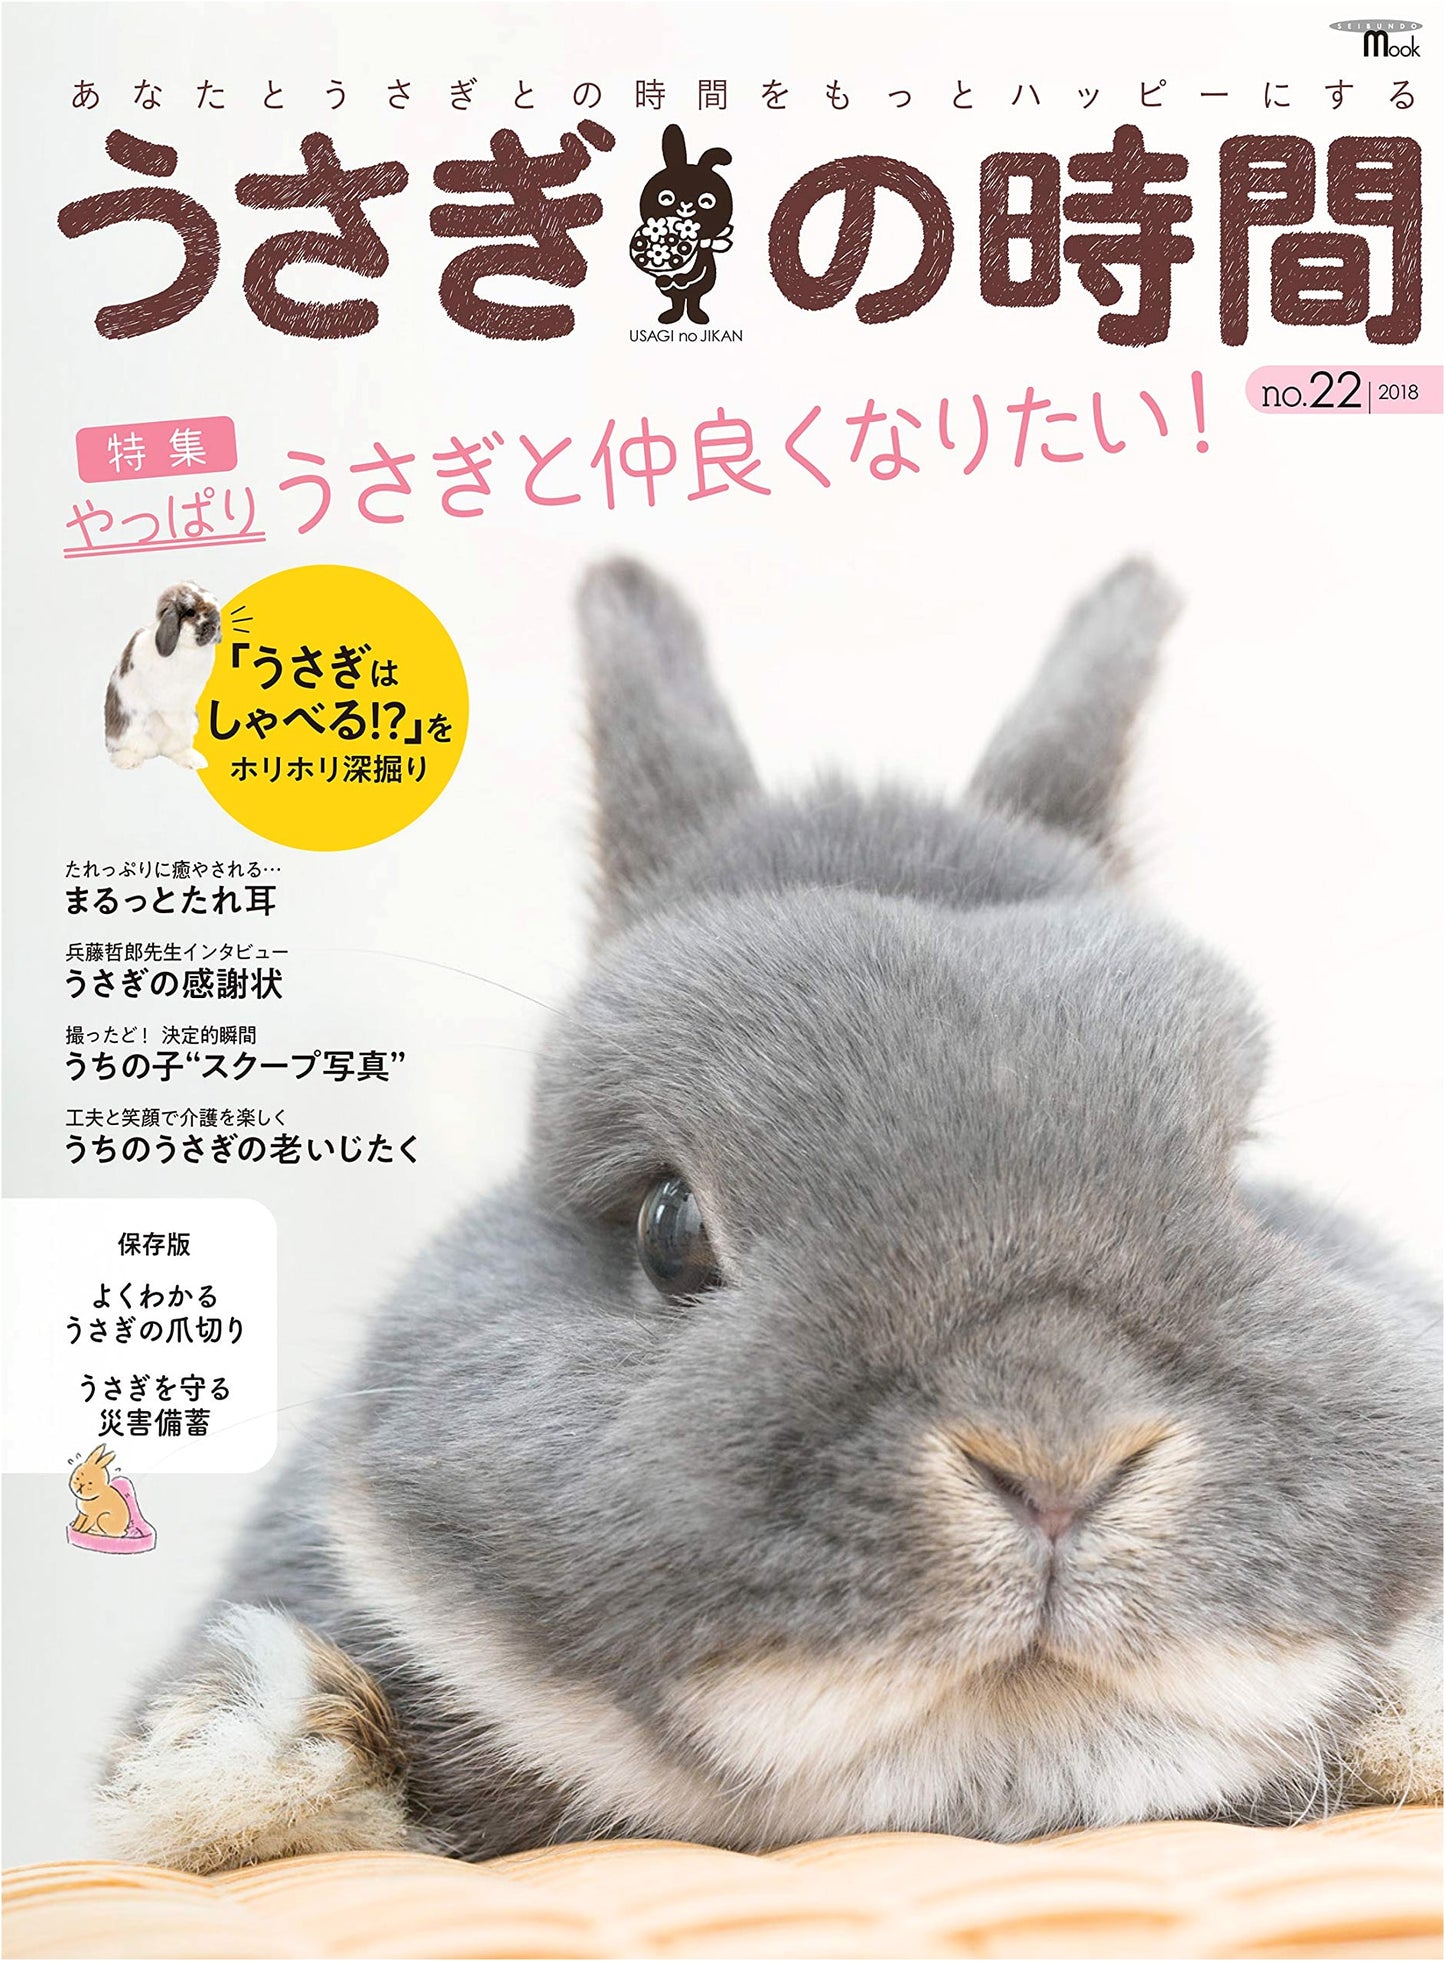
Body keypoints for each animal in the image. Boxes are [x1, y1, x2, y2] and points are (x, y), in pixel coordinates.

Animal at [106, 580, 220, 771]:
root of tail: (156, 749)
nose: (216, 626)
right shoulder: (169, 700)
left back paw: (192, 759)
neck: (185, 648)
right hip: (127, 732)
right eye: (190, 612)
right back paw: (129, 760)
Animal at [629, 124, 733, 325]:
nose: (686, 206)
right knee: (677, 299)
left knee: (692, 297)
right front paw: (666, 280)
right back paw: (671, 315)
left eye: (706, 201)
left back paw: (697, 315)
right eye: (666, 198)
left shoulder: (701, 254)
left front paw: (681, 278)